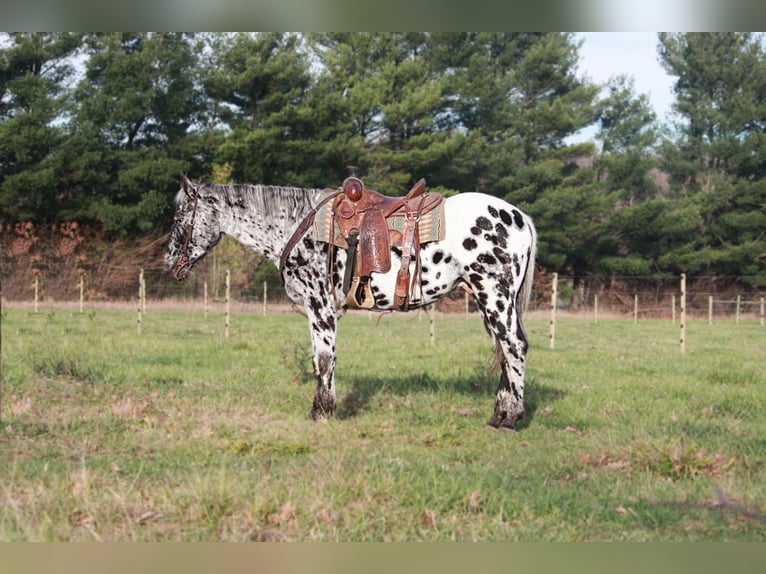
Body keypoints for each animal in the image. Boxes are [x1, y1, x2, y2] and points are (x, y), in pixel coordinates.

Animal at [166, 176, 540, 432]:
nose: (170, 263)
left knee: (514, 346)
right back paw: (500, 413)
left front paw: (321, 412)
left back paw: (509, 417)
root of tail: (519, 216)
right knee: (505, 351)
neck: (298, 226)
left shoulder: (320, 306)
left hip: (494, 295)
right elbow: (321, 359)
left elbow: (323, 358)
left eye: (181, 215)